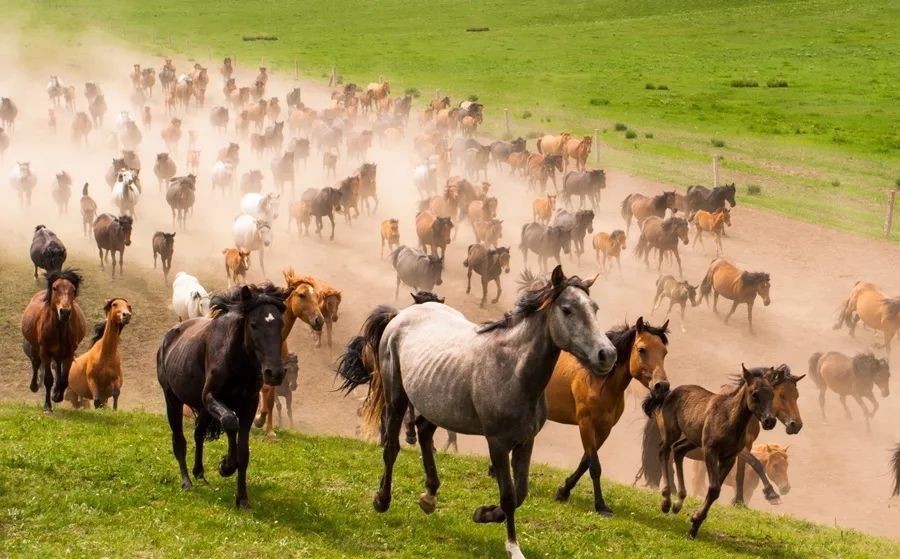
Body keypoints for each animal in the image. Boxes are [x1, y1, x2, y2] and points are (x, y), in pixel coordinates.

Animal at [21, 270, 87, 414]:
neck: (60, 329)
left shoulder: (69, 353)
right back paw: (34, 386)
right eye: (55, 288)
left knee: (57, 367)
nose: (65, 312)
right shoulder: (45, 352)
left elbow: (64, 379)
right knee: (36, 363)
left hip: (59, 353)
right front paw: (47, 406)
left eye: (73, 290)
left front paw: (57, 396)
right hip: (36, 347)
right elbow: (48, 379)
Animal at [156, 286, 286, 510]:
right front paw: (225, 465)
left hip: (202, 409)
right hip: (172, 400)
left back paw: (199, 472)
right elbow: (230, 421)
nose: (274, 373)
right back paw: (187, 481)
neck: (236, 360)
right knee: (179, 440)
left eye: (281, 324)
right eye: (253, 324)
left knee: (198, 434)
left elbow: (243, 452)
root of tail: (168, 338)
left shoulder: (249, 405)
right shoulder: (211, 397)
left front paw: (242, 499)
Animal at [338, 266, 620, 559]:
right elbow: (509, 496)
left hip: (438, 405)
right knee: (391, 447)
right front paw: (512, 546)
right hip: (396, 396)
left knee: (424, 432)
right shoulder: (497, 443)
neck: (513, 371)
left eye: (595, 308)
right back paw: (382, 500)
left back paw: (429, 497)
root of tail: (401, 314)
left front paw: (484, 513)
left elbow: (521, 493)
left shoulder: (525, 441)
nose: (607, 355)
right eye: (567, 309)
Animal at [544, 320, 672, 516]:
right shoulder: (586, 425)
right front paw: (600, 505)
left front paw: (563, 491)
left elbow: (585, 463)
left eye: (664, 352)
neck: (597, 380)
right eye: (642, 349)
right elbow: (594, 466)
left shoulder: (604, 430)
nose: (662, 386)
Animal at [644, 366, 776, 540]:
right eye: (754, 394)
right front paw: (695, 521)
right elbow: (713, 488)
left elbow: (715, 491)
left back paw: (678, 502)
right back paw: (666, 501)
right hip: (672, 432)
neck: (729, 418)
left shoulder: (729, 458)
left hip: (692, 439)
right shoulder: (710, 451)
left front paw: (694, 525)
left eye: (772, 394)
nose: (770, 421)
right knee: (663, 451)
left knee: (678, 450)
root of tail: (669, 393)